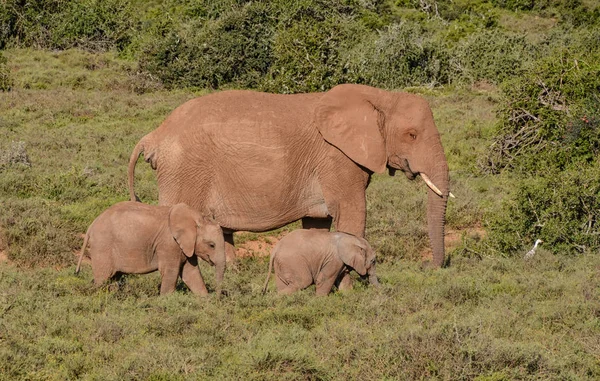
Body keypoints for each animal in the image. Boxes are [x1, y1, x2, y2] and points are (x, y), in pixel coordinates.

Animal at [75, 200, 225, 296]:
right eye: (211, 245)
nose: (218, 298)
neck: (196, 217)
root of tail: (91, 226)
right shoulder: (168, 244)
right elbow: (171, 272)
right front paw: (166, 301)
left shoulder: (185, 246)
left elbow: (191, 273)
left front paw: (205, 301)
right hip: (102, 246)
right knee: (103, 278)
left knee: (113, 278)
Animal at [130, 83, 450, 274]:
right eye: (412, 135)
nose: (429, 267)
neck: (379, 96)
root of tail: (153, 135)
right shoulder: (336, 158)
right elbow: (352, 213)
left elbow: (318, 225)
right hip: (184, 172)